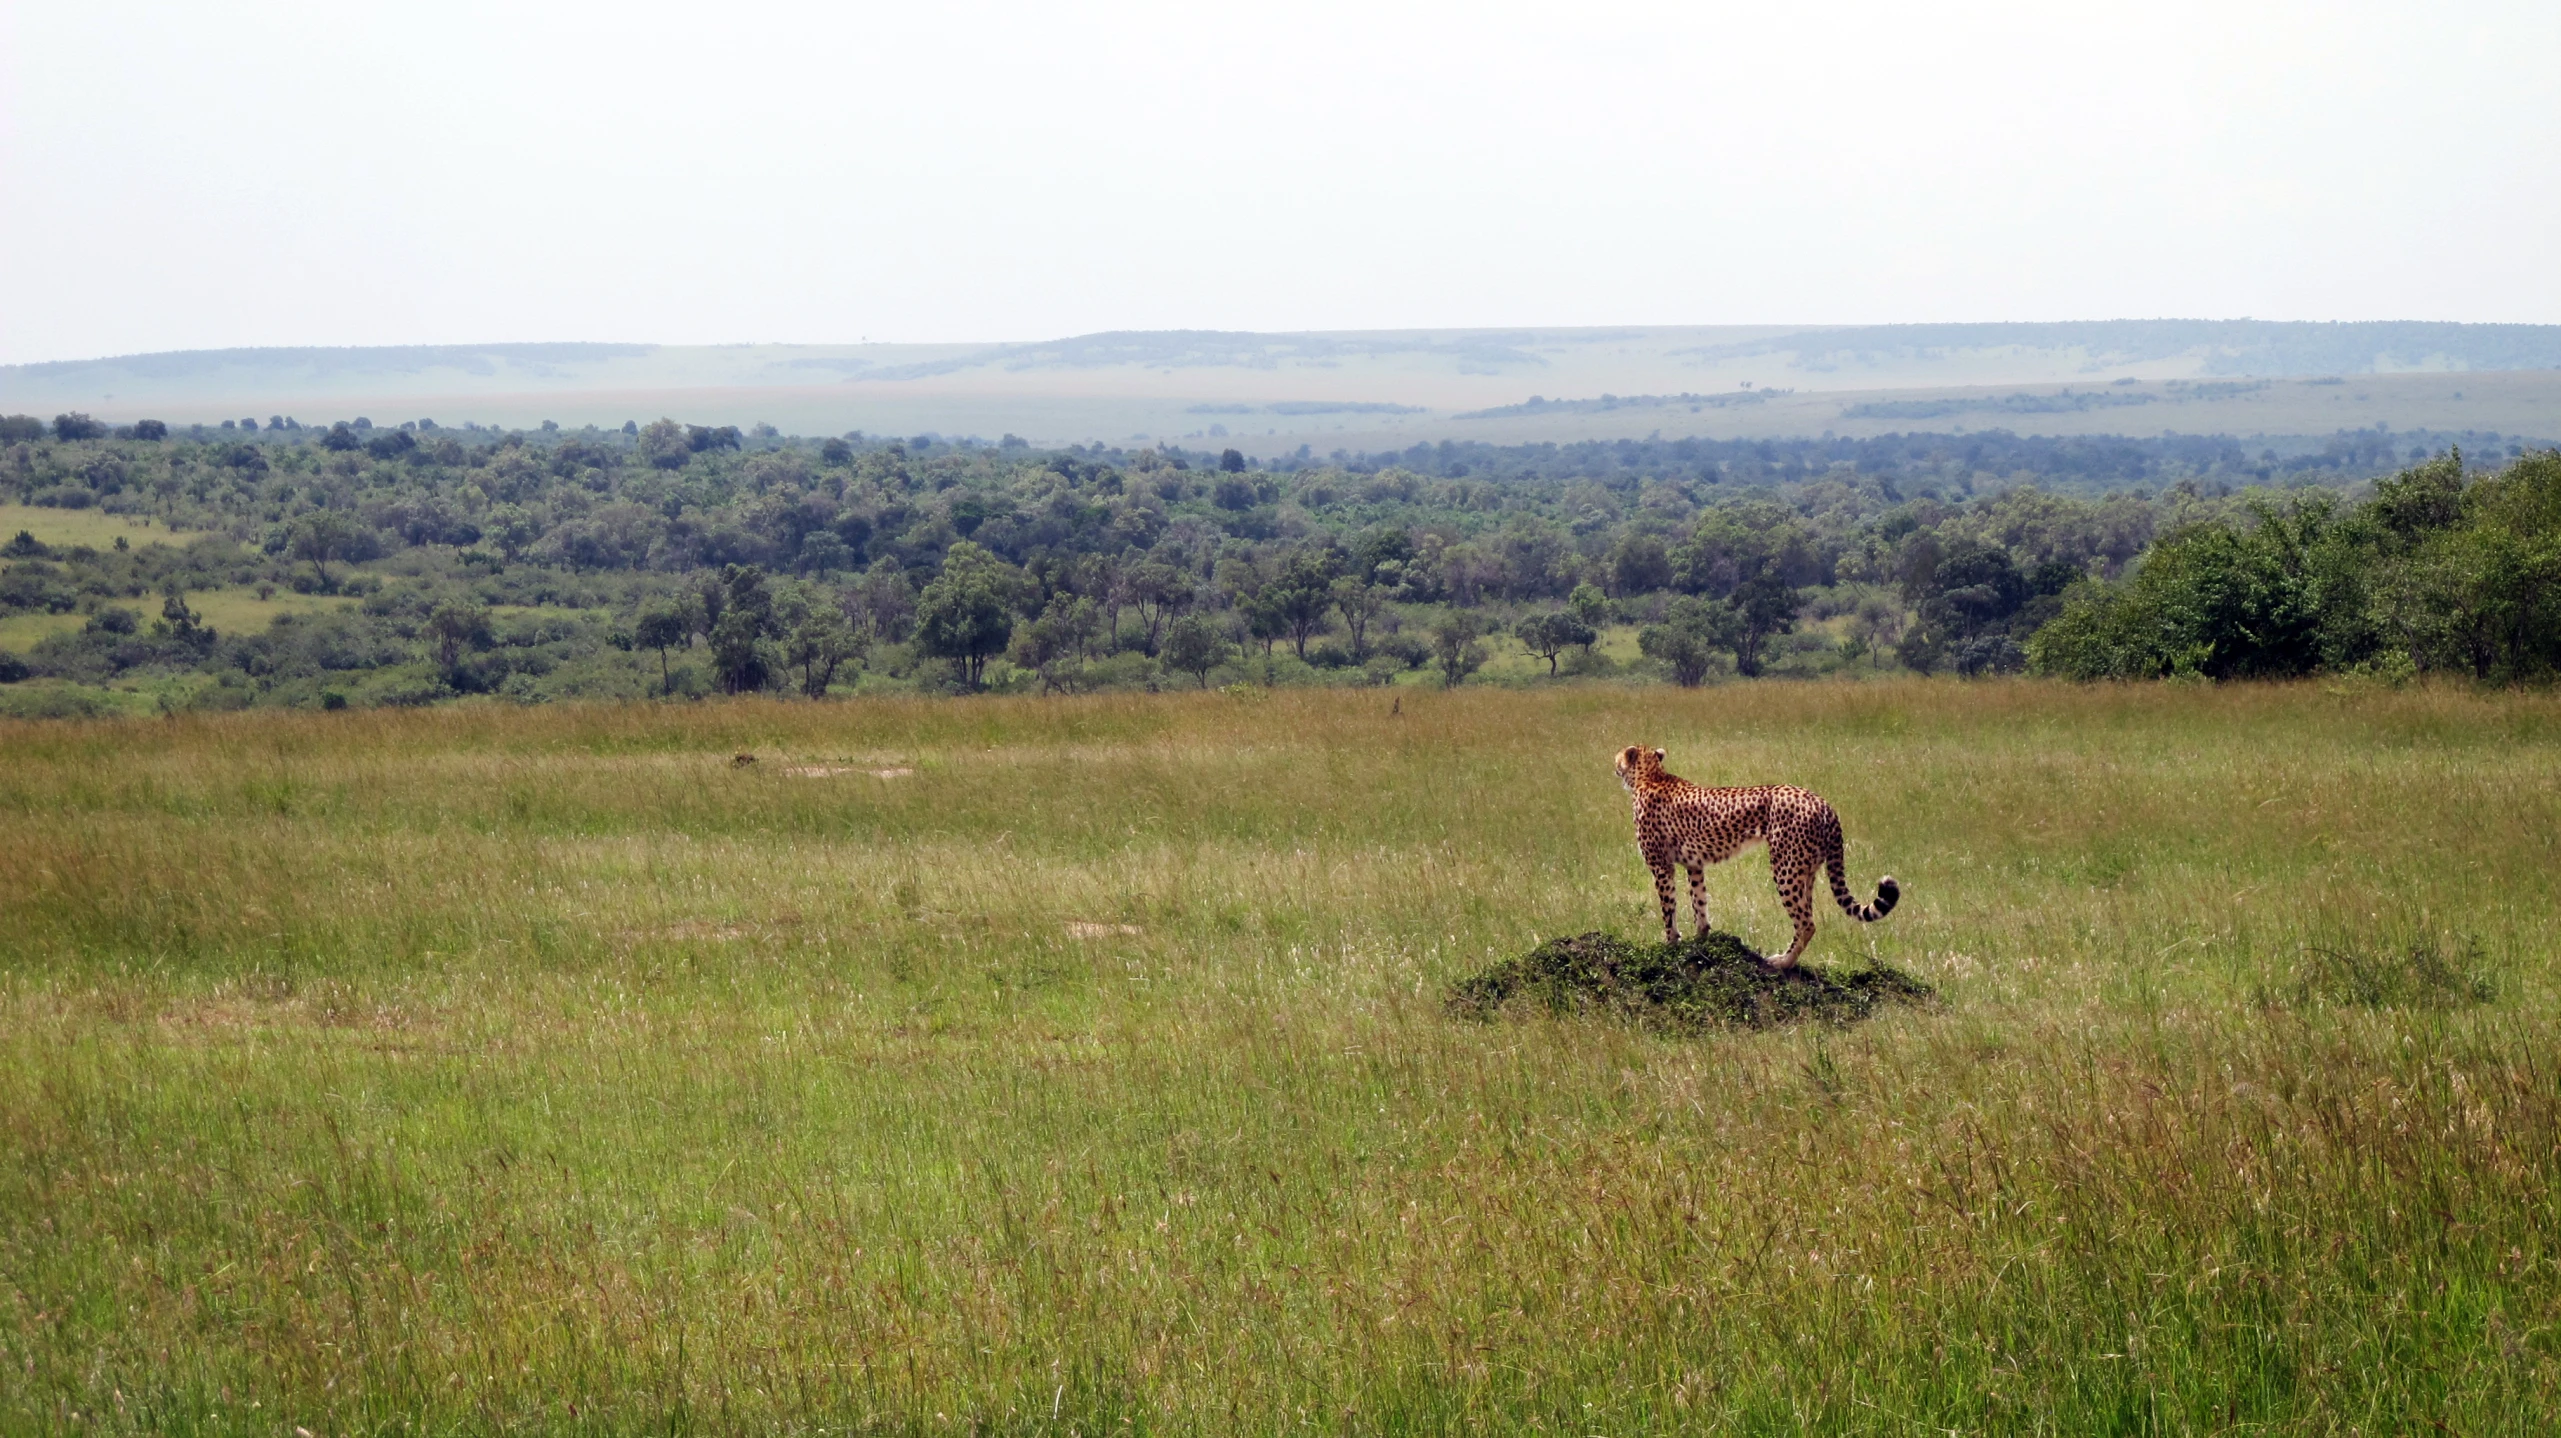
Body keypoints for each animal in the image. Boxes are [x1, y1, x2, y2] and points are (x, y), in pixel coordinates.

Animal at [1618, 743, 1905, 968]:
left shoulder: (1661, 866)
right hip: (1807, 870)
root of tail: (1823, 802)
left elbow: (1668, 908)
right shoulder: (1694, 864)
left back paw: (1781, 963)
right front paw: (1700, 940)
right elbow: (1699, 902)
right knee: (1807, 916)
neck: (1651, 775)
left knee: (1806, 923)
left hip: (1786, 868)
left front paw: (1670, 944)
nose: (1615, 763)